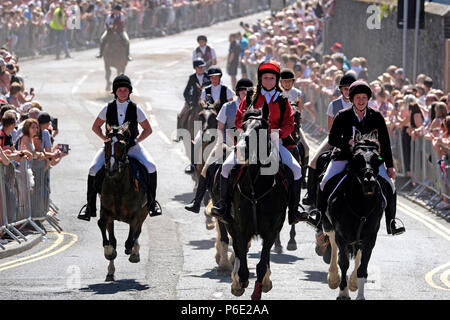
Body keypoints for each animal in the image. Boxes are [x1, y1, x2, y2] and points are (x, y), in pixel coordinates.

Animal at [98, 121, 148, 282]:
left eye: (122, 144)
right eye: (106, 143)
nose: (111, 170)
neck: (118, 184)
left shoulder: (136, 214)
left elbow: (131, 236)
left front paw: (132, 251)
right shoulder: (106, 213)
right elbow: (108, 235)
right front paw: (109, 252)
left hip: (144, 212)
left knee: (137, 232)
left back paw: (134, 253)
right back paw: (111, 270)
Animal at [221, 109, 292, 298]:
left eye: (260, 128)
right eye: (243, 126)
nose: (241, 149)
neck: (256, 186)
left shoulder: (272, 229)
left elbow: (262, 263)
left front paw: (260, 287)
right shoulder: (241, 227)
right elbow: (243, 261)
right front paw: (241, 281)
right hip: (230, 223)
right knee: (239, 251)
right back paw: (236, 282)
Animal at [320, 130, 386, 300]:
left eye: (378, 159)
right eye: (357, 158)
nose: (369, 181)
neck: (361, 205)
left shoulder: (370, 237)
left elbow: (363, 266)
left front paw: (359, 293)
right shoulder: (342, 235)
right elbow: (343, 262)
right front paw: (343, 292)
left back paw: (354, 282)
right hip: (329, 226)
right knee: (333, 244)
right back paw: (333, 278)